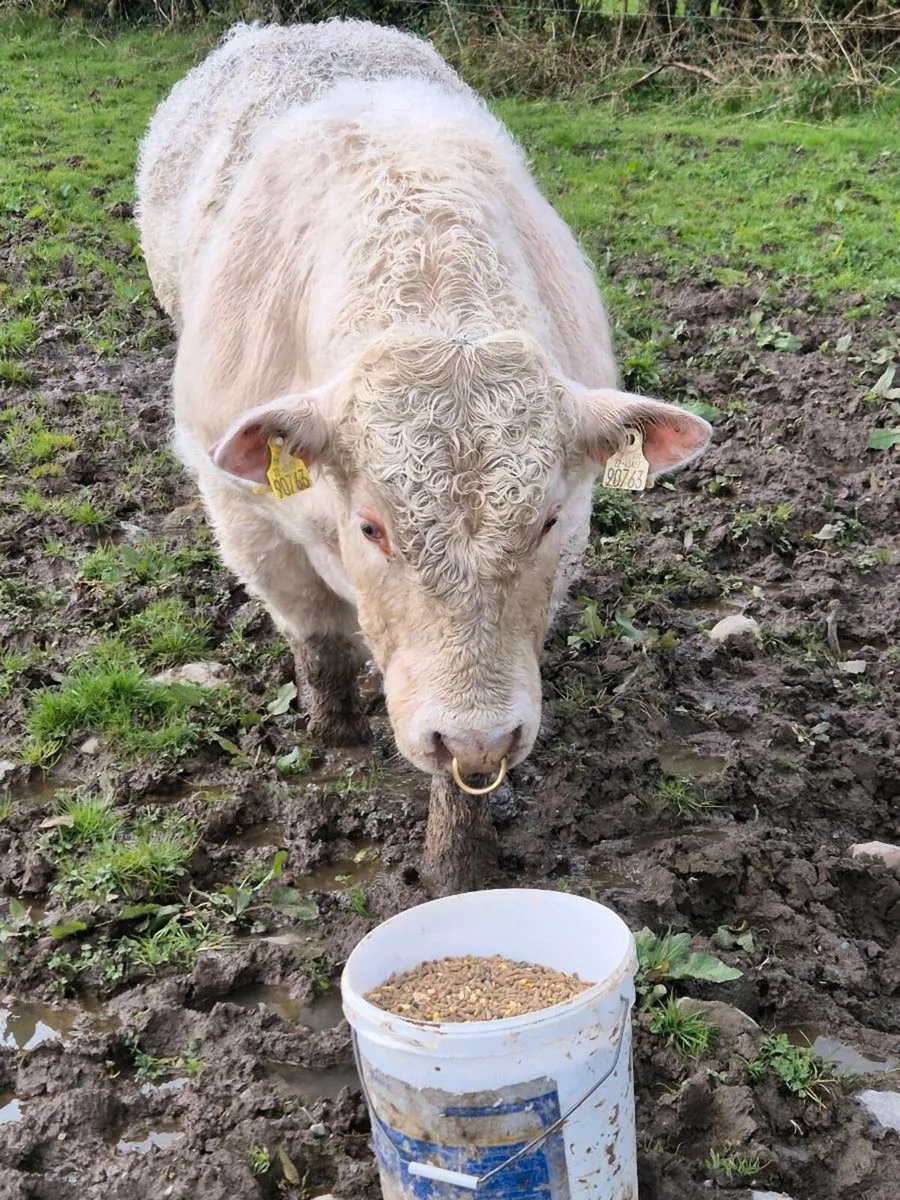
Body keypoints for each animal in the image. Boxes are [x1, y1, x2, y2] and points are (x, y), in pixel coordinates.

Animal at [136, 20, 710, 809]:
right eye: (371, 528)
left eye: (546, 521)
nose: (474, 735)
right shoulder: (242, 511)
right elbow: (319, 640)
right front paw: (336, 733)